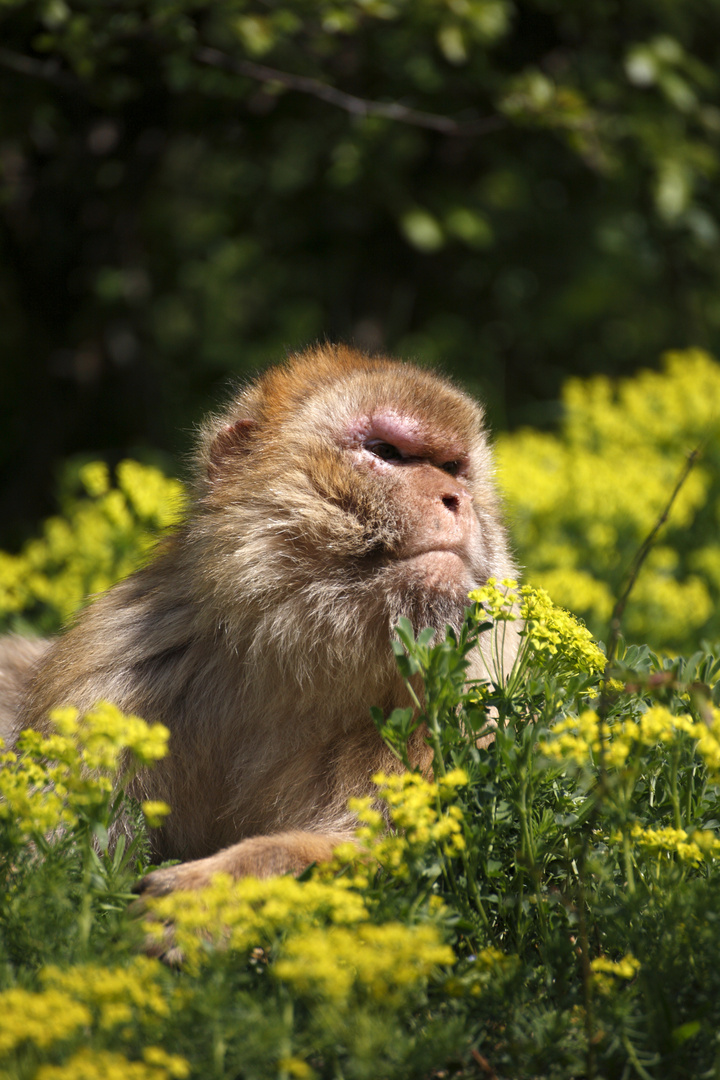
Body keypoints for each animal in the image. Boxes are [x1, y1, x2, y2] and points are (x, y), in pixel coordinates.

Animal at [2, 345, 518, 894]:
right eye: (387, 452)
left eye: (452, 467)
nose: (456, 499)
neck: (298, 658)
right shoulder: (109, 683)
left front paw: (202, 891)